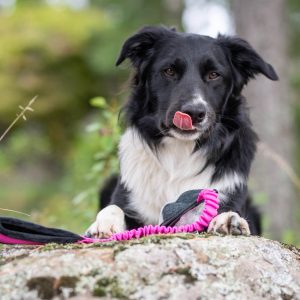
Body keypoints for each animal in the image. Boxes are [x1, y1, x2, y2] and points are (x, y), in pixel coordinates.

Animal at [85, 25, 278, 237]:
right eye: (169, 71)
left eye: (214, 75)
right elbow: (113, 207)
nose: (194, 112)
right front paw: (104, 223)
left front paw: (228, 220)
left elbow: (227, 211)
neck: (180, 153)